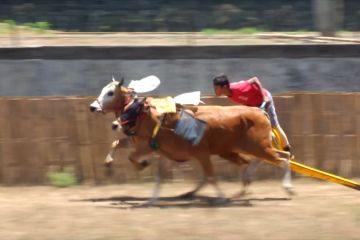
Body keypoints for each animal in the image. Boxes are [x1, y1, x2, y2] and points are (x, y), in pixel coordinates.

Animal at [88, 79, 292, 202]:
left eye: (110, 93)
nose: (92, 107)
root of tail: (260, 111)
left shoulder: (153, 148)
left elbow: (133, 158)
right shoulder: (160, 151)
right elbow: (119, 147)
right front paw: (151, 199)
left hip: (259, 147)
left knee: (283, 158)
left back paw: (287, 188)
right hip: (244, 149)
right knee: (259, 161)